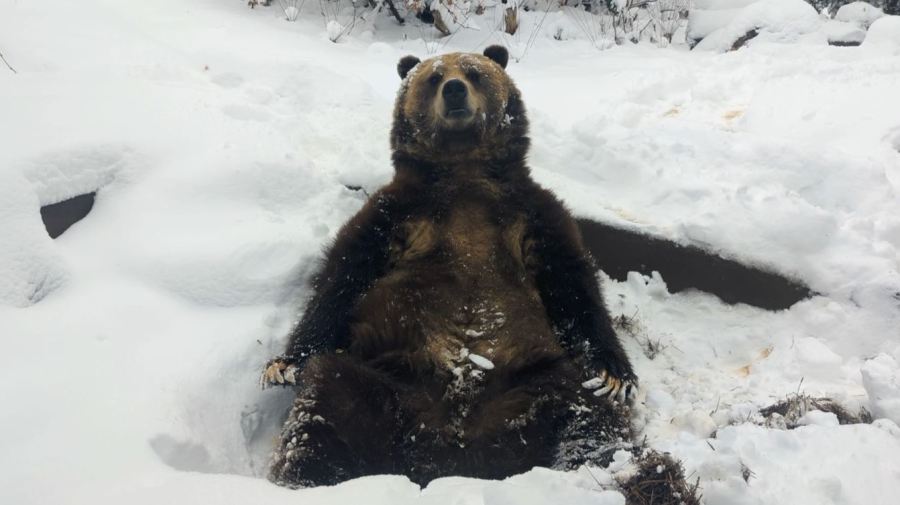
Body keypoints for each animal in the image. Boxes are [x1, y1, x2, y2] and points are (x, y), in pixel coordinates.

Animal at [260, 45, 640, 486]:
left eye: (474, 72)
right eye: (433, 77)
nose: (455, 90)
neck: (464, 173)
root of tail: (451, 453)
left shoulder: (530, 214)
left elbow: (574, 284)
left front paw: (616, 377)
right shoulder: (399, 213)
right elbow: (344, 273)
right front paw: (283, 365)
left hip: (534, 379)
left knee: (587, 414)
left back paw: (627, 474)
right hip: (382, 374)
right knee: (326, 406)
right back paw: (306, 477)